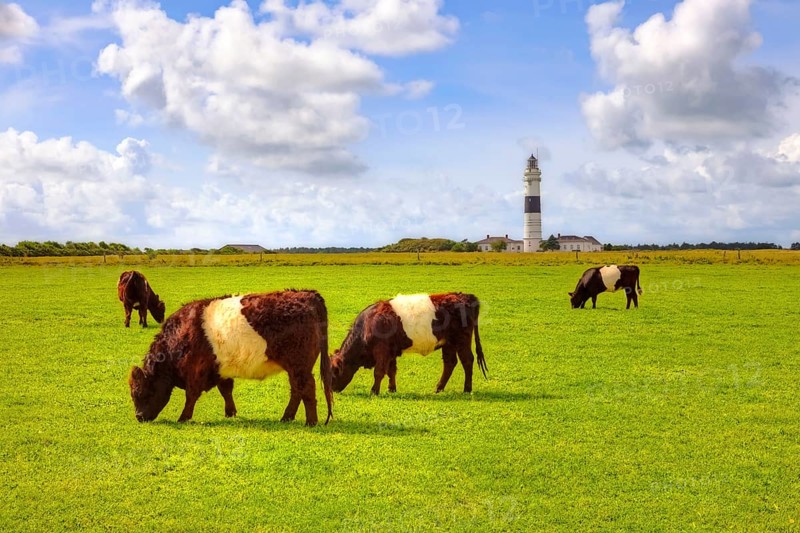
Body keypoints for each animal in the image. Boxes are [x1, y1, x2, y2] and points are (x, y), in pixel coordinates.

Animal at [128, 289, 333, 426]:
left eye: (140, 392)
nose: (138, 416)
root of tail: (307, 294)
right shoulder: (220, 370)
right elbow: (226, 390)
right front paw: (230, 413)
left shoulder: (195, 372)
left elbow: (191, 395)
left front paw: (183, 418)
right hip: (295, 368)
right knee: (297, 390)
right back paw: (287, 417)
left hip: (300, 366)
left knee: (306, 388)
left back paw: (310, 422)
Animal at [330, 293, 487, 395]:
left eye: (334, 372)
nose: (331, 390)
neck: (368, 324)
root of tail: (465, 296)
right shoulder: (391, 352)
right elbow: (391, 371)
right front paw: (392, 389)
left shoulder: (382, 350)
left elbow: (379, 372)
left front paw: (374, 391)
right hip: (448, 343)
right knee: (450, 363)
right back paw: (439, 388)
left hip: (461, 340)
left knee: (467, 360)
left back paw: (467, 389)